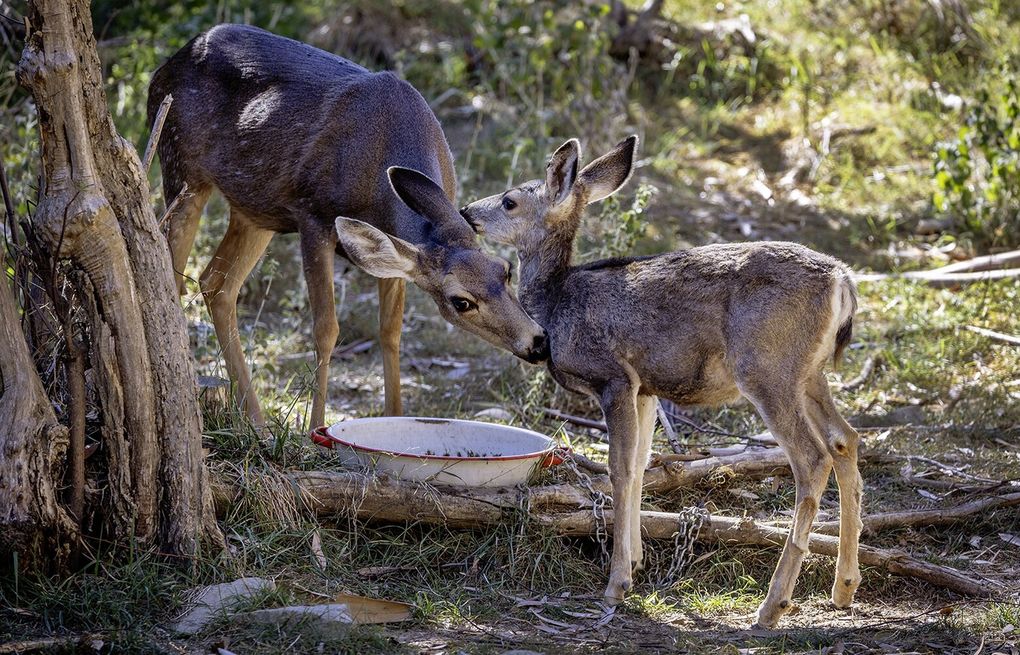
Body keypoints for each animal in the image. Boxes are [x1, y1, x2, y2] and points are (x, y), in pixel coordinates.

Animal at [147, 24, 549, 429]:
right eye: (461, 301)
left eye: (505, 270)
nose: (538, 341)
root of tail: (165, 67)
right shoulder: (313, 215)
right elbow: (326, 328)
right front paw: (315, 428)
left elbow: (390, 331)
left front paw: (394, 419)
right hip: (181, 166)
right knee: (170, 271)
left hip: (255, 209)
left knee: (217, 283)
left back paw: (257, 422)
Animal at [458, 136, 863, 628]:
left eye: (510, 200)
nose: (467, 211)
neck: (556, 306)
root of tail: (842, 280)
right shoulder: (645, 388)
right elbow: (640, 466)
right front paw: (634, 562)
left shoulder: (612, 376)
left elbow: (617, 470)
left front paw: (616, 585)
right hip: (809, 373)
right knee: (846, 440)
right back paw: (843, 588)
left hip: (767, 368)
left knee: (813, 458)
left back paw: (773, 606)